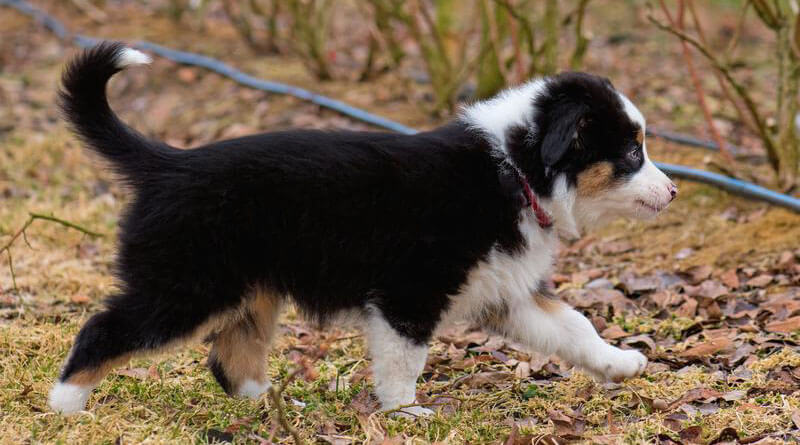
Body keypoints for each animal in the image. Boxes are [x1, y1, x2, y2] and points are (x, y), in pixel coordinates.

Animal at [48, 43, 676, 414]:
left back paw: (271, 408)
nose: (672, 191)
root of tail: (167, 162)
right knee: (105, 329)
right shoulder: (409, 292)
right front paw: (406, 414)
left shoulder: (505, 290)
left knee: (229, 357)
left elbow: (572, 325)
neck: (516, 170)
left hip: (248, 291)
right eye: (631, 153)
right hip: (188, 285)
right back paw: (65, 407)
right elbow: (404, 360)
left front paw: (620, 363)